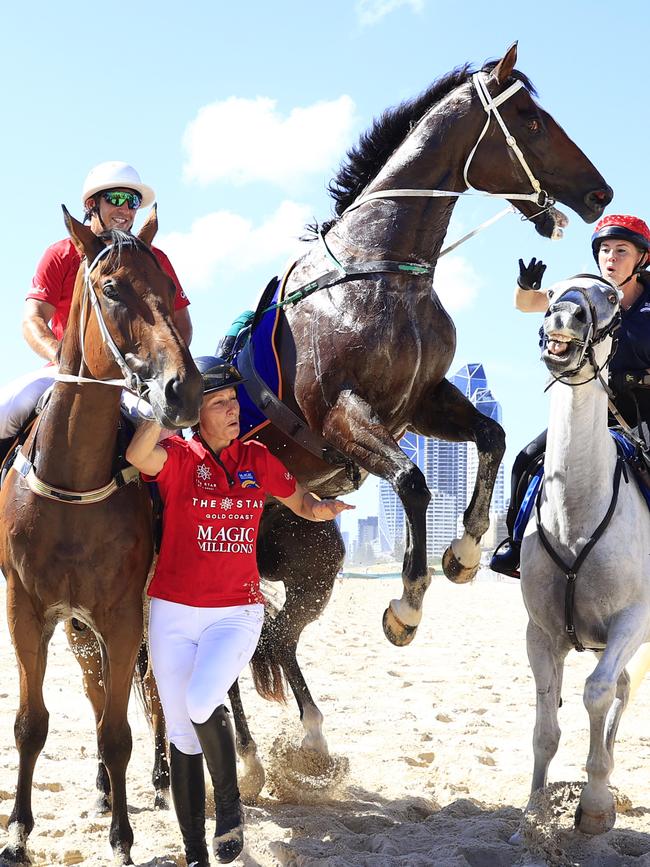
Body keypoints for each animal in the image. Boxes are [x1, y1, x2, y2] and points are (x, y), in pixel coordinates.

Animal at [0, 212, 201, 867]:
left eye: (167, 286)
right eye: (112, 288)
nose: (183, 390)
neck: (73, 479)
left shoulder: (121, 613)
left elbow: (118, 732)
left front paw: (122, 838)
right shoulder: (27, 609)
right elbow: (31, 723)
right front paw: (18, 831)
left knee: (157, 696)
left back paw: (161, 780)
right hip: (78, 628)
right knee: (94, 692)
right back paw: (100, 788)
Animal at [225, 44, 612, 784]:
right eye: (529, 116)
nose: (599, 193)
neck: (382, 271)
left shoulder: (423, 399)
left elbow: (491, 434)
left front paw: (465, 550)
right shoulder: (342, 419)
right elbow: (411, 482)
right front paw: (407, 604)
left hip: (315, 562)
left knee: (277, 637)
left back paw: (309, 741)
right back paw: (244, 761)